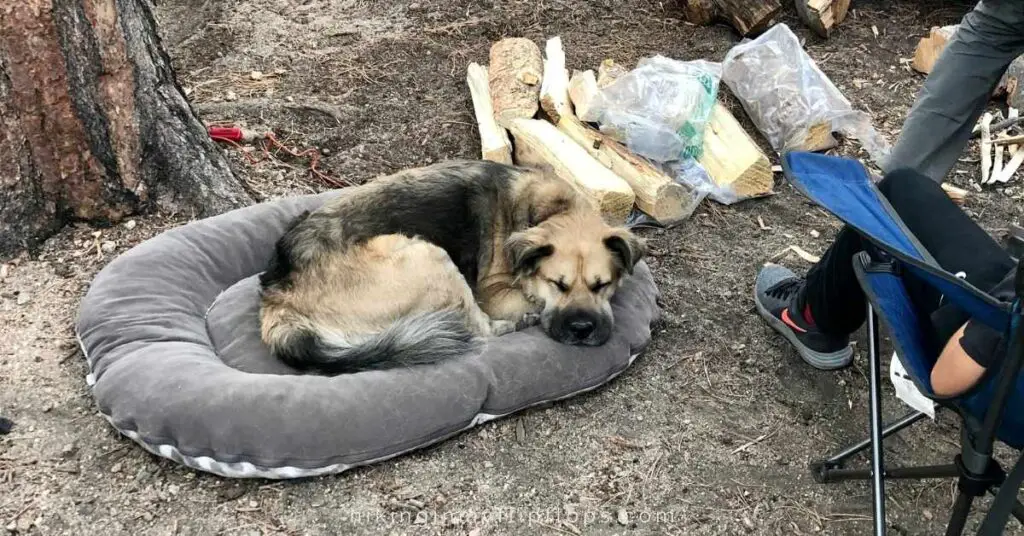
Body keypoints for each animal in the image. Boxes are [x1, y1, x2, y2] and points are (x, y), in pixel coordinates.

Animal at [256, 161, 643, 375]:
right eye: (557, 284)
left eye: (602, 285)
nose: (582, 330)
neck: (554, 210)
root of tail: (278, 300)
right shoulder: (493, 292)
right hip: (430, 256)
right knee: (478, 331)